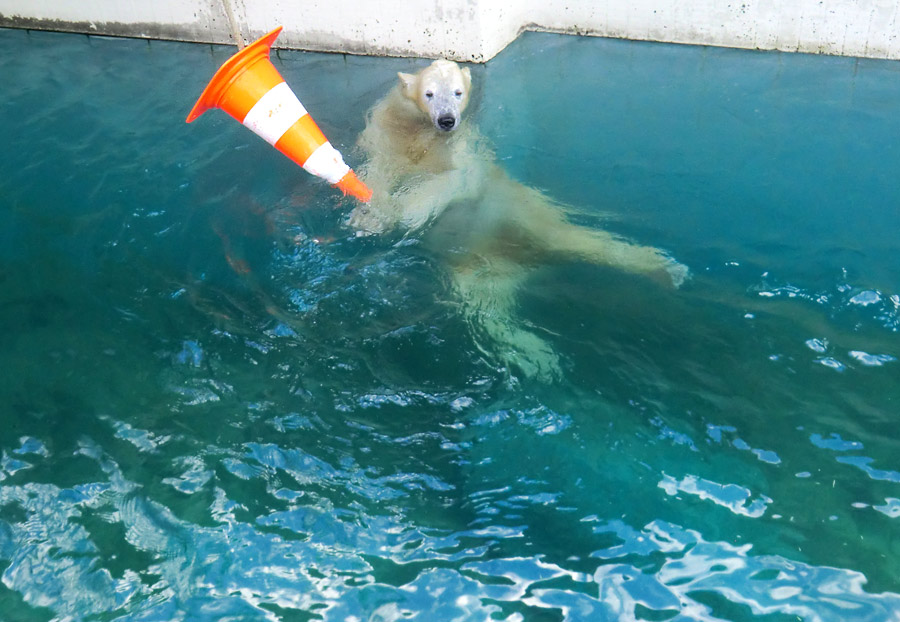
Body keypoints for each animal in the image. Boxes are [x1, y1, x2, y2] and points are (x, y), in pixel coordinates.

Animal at [348, 59, 684, 380]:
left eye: (458, 92)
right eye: (429, 93)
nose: (447, 119)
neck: (418, 131)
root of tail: (523, 262)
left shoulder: (463, 152)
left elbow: (454, 180)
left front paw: (401, 213)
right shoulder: (385, 133)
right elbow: (376, 170)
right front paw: (369, 218)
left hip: (523, 210)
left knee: (577, 239)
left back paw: (665, 269)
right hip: (476, 269)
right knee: (486, 307)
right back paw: (537, 356)